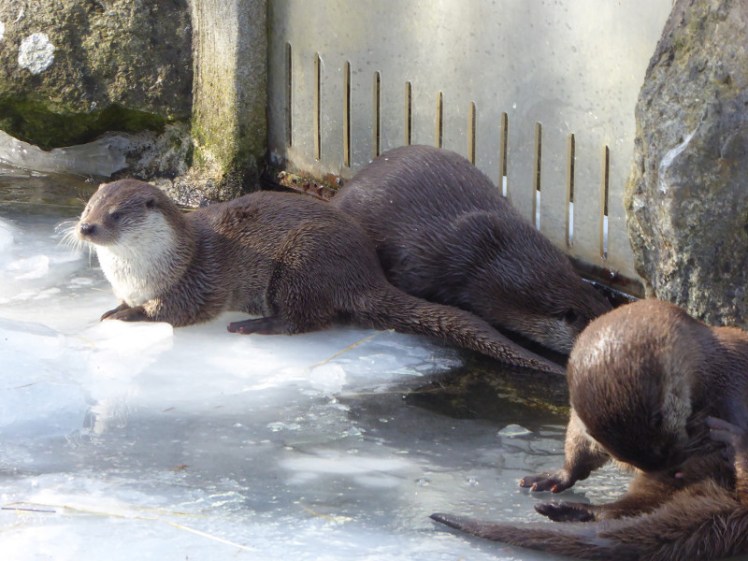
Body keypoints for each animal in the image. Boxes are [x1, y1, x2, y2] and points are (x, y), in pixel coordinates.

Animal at [74, 179, 564, 374]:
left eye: (114, 215)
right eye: (88, 207)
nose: (85, 228)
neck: (142, 273)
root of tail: (365, 273)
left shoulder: (195, 283)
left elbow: (174, 312)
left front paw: (128, 316)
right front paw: (116, 307)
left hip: (303, 263)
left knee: (305, 319)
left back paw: (253, 325)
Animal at [431, 299, 748, 560]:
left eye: (660, 418)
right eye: (607, 444)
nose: (666, 466)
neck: (713, 371)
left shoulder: (735, 394)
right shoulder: (582, 424)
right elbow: (579, 446)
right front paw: (558, 476)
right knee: (628, 507)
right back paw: (575, 512)